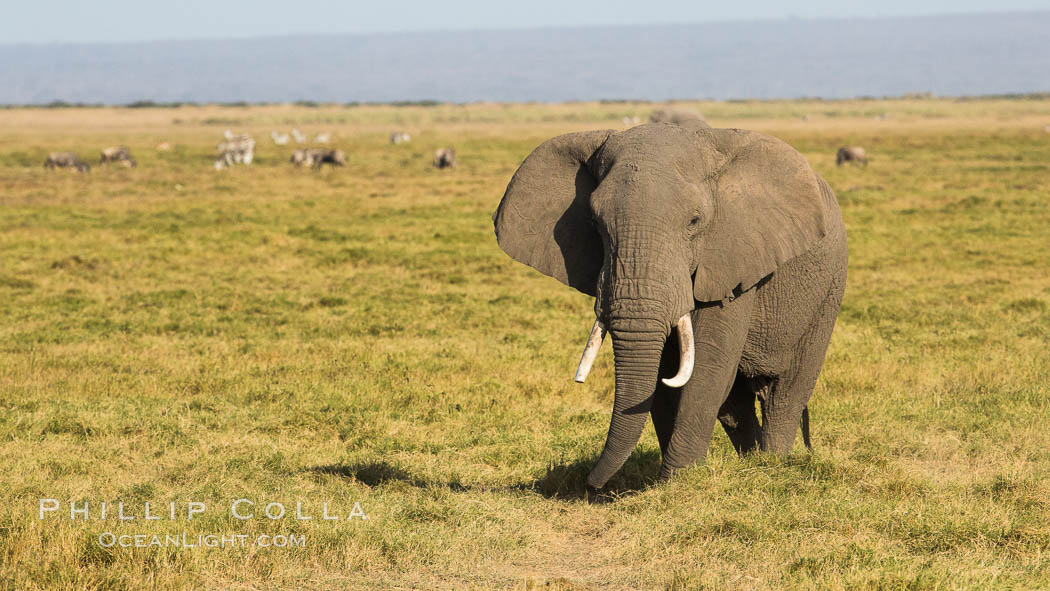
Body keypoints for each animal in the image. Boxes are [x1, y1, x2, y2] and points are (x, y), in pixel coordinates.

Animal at [495, 121, 848, 491]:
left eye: (694, 221)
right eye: (595, 223)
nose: (590, 483)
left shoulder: (732, 257)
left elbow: (707, 366)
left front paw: (678, 481)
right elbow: (664, 377)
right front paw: (670, 482)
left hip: (829, 290)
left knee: (786, 392)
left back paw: (772, 464)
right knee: (735, 405)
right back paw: (750, 463)